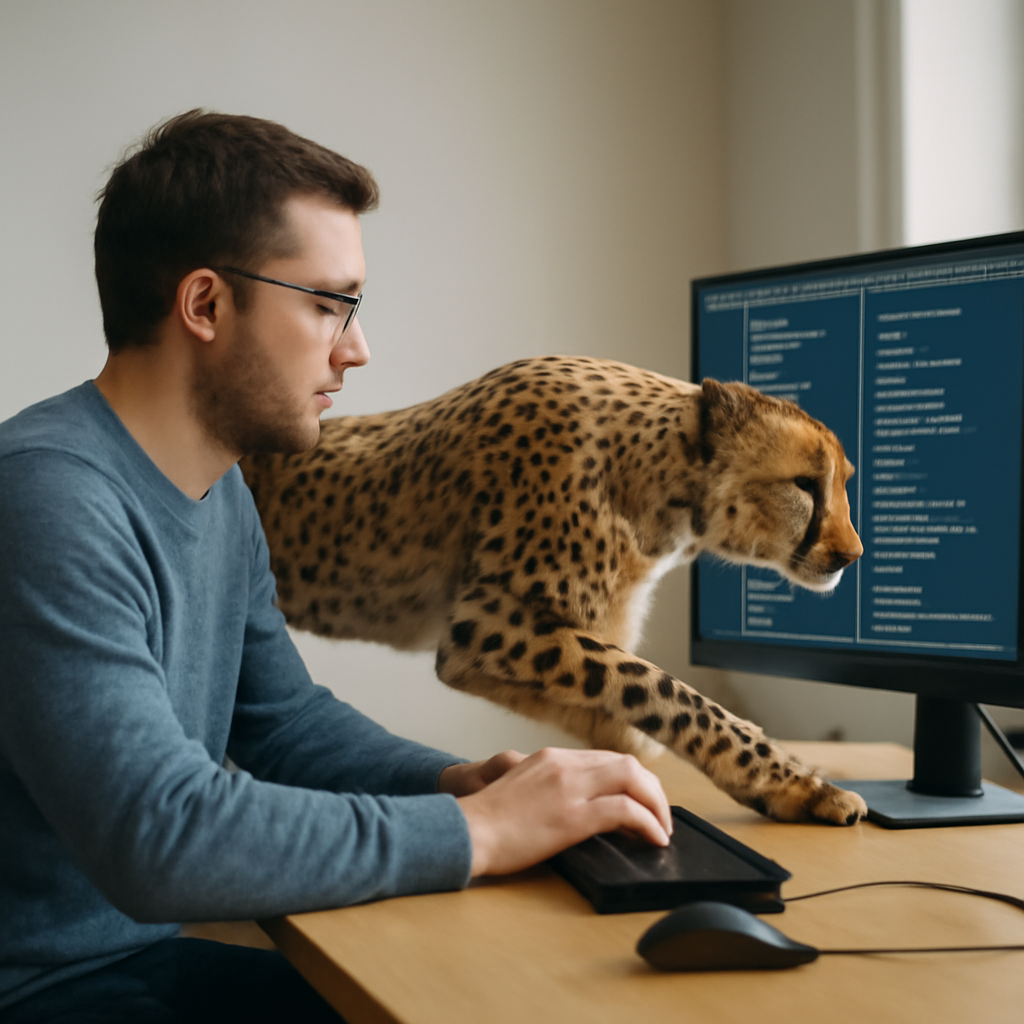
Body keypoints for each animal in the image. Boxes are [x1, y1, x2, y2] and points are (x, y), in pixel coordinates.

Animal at [241, 355, 868, 825]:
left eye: (843, 480)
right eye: (805, 484)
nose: (852, 555)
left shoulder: (518, 648)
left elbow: (614, 695)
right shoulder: (485, 627)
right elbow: (670, 691)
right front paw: (797, 783)